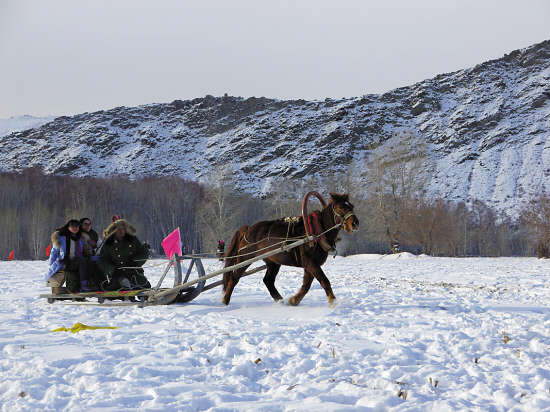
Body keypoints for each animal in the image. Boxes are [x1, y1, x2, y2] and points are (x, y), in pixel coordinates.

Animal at [222, 193, 360, 306]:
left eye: (352, 206)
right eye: (341, 207)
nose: (355, 223)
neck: (317, 231)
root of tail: (248, 228)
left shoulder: (310, 265)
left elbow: (306, 285)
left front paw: (294, 301)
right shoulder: (310, 263)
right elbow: (324, 281)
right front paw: (333, 302)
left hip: (273, 262)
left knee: (268, 281)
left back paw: (280, 300)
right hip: (245, 257)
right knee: (234, 277)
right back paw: (225, 301)